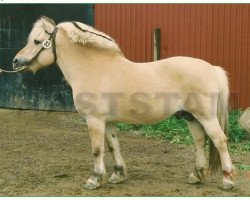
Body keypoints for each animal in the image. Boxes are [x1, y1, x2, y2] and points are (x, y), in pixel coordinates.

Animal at [12, 16, 235, 190]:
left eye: (37, 41)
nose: (16, 61)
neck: (93, 69)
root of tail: (212, 68)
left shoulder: (94, 120)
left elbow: (97, 149)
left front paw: (94, 179)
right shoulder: (108, 122)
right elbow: (113, 146)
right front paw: (117, 175)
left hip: (206, 116)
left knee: (220, 140)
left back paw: (228, 180)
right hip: (190, 117)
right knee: (200, 141)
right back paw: (196, 176)